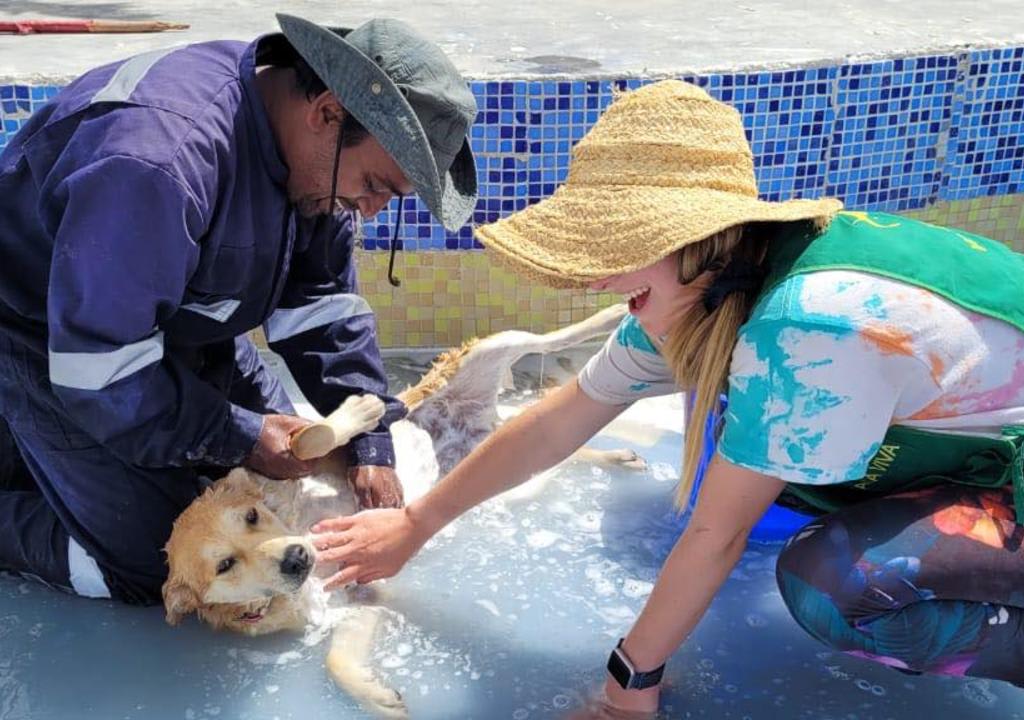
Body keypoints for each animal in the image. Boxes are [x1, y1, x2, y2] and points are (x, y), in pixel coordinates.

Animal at [159, 301, 638, 716]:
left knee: (550, 338)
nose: (296, 557)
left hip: (492, 350)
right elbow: (335, 661)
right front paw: (378, 697)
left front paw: (358, 410)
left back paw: (616, 314)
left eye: (251, 517)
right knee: (560, 451)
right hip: (509, 473)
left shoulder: (294, 465)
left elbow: (310, 438)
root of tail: (477, 424)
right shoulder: (358, 599)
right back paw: (616, 457)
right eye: (224, 565)